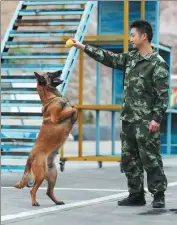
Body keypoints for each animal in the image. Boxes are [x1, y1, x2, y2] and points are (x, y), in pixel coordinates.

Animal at [13, 70, 77, 206]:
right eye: (50, 73)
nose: (59, 71)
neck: (52, 97)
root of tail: (30, 158)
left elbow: (74, 109)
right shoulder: (57, 117)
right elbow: (74, 109)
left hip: (53, 175)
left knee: (49, 192)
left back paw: (57, 202)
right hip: (41, 174)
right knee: (33, 190)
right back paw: (34, 202)